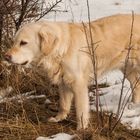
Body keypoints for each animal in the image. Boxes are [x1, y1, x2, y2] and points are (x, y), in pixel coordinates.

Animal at [4, 14, 140, 129]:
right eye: (14, 42)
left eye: (23, 43)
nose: (6, 56)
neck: (61, 49)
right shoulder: (63, 82)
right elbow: (63, 104)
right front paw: (58, 118)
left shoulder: (78, 83)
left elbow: (80, 109)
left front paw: (81, 128)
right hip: (127, 68)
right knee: (136, 85)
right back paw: (133, 105)